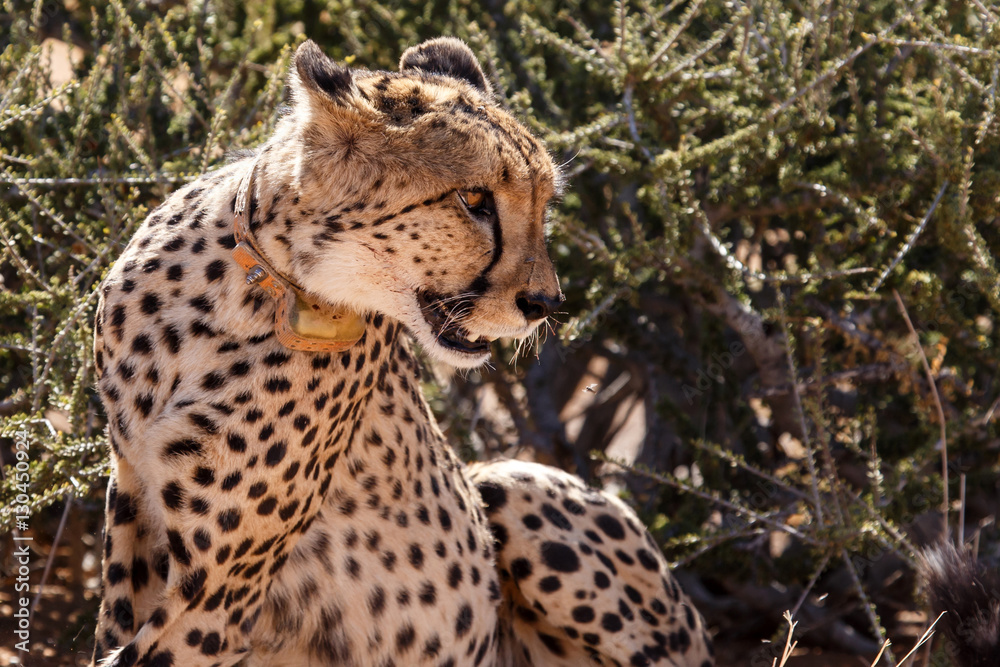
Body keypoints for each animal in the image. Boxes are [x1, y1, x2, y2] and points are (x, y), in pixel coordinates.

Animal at [90, 36, 714, 667]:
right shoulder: (133, 493)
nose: (545, 302)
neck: (252, 286)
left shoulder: (219, 592)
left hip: (508, 480)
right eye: (473, 199)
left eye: (544, 205)